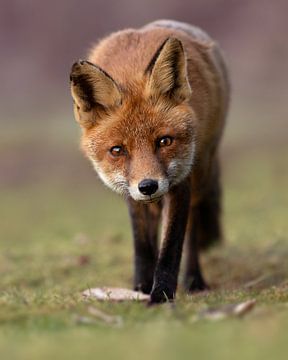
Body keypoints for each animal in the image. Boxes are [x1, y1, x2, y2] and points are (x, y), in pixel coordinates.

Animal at [69, 18, 230, 302]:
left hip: (202, 173)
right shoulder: (131, 193)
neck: (131, 68)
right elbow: (143, 247)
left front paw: (161, 296)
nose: (148, 186)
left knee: (193, 229)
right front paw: (140, 289)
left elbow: (170, 248)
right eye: (117, 150)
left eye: (164, 141)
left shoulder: (180, 182)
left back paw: (193, 279)